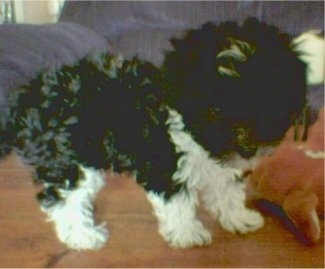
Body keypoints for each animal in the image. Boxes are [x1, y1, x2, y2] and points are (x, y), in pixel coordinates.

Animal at [0, 17, 318, 249]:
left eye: (270, 101)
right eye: (217, 108)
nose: (250, 149)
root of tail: (26, 96)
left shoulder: (223, 162)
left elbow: (226, 189)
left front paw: (238, 218)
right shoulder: (165, 163)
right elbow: (178, 202)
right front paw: (187, 233)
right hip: (66, 158)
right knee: (63, 198)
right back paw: (82, 236)